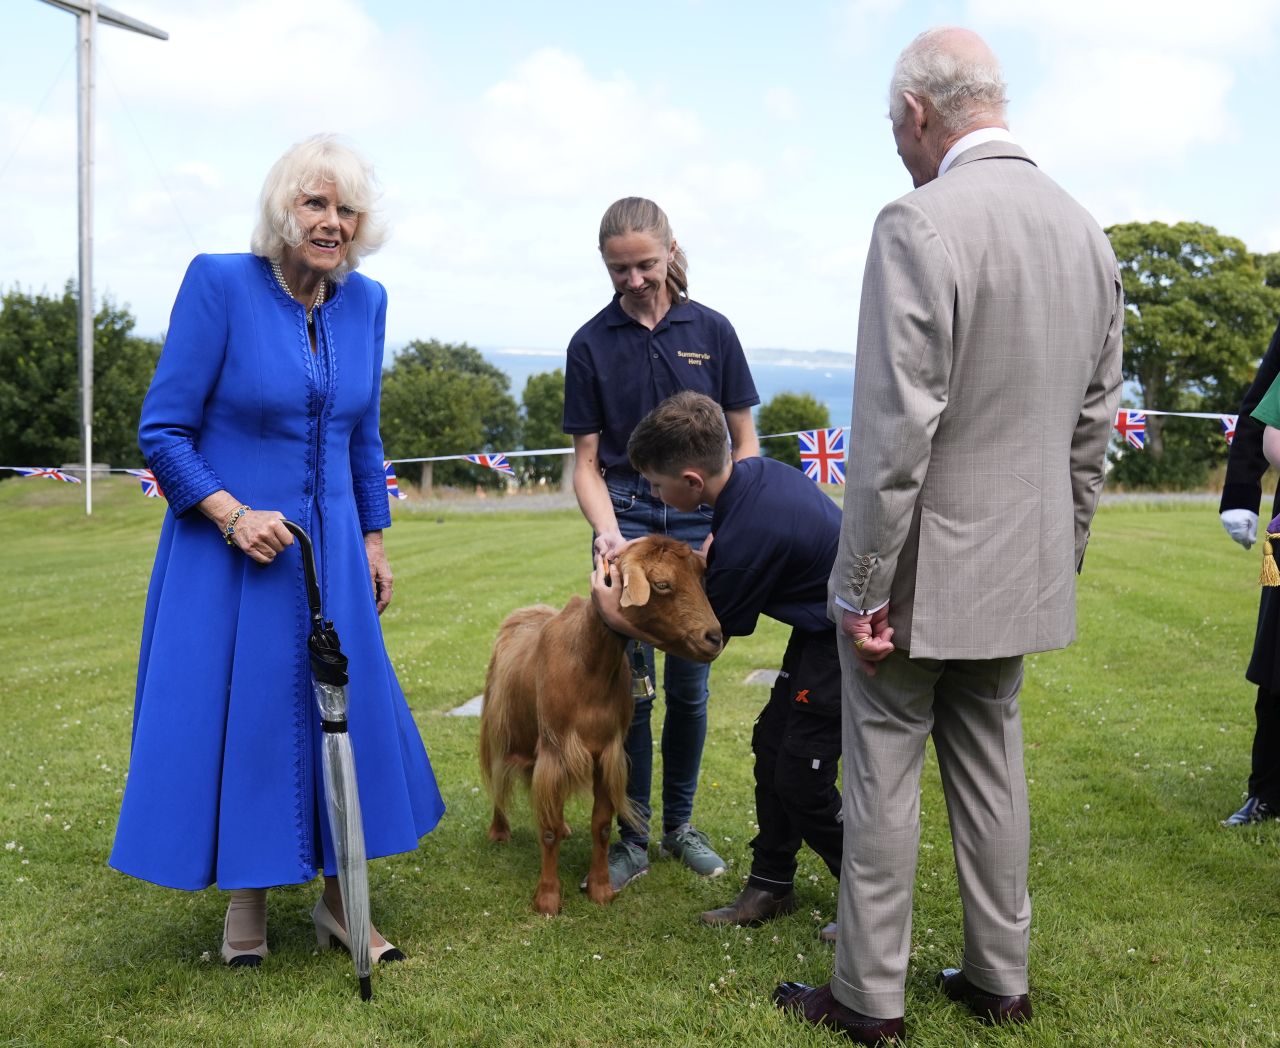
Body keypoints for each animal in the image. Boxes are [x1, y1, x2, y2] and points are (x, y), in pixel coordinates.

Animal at [478, 537, 721, 916]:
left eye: (701, 578)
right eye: (662, 584)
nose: (714, 637)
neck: (587, 662)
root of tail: (525, 612)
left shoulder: (607, 753)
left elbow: (602, 825)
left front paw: (602, 889)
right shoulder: (555, 750)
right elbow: (546, 830)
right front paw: (547, 899)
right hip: (500, 728)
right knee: (498, 780)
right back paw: (499, 831)